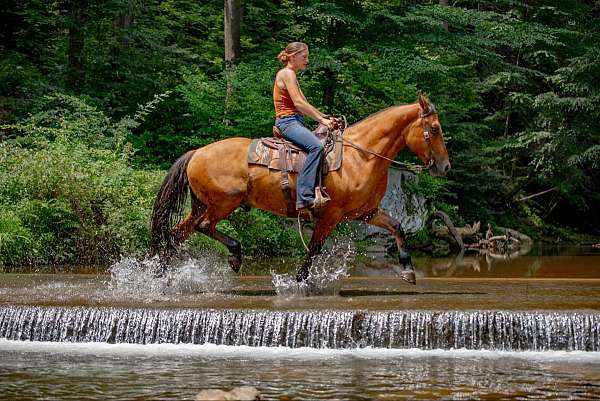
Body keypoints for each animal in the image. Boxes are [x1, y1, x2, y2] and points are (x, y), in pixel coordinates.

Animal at [150, 94, 450, 282]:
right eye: (435, 129)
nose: (445, 167)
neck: (362, 156)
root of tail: (197, 153)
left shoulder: (367, 212)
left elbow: (397, 227)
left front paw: (408, 270)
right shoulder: (332, 214)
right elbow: (315, 247)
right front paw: (299, 279)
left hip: (202, 205)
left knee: (176, 235)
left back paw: (164, 274)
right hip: (223, 203)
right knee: (202, 227)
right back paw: (234, 255)